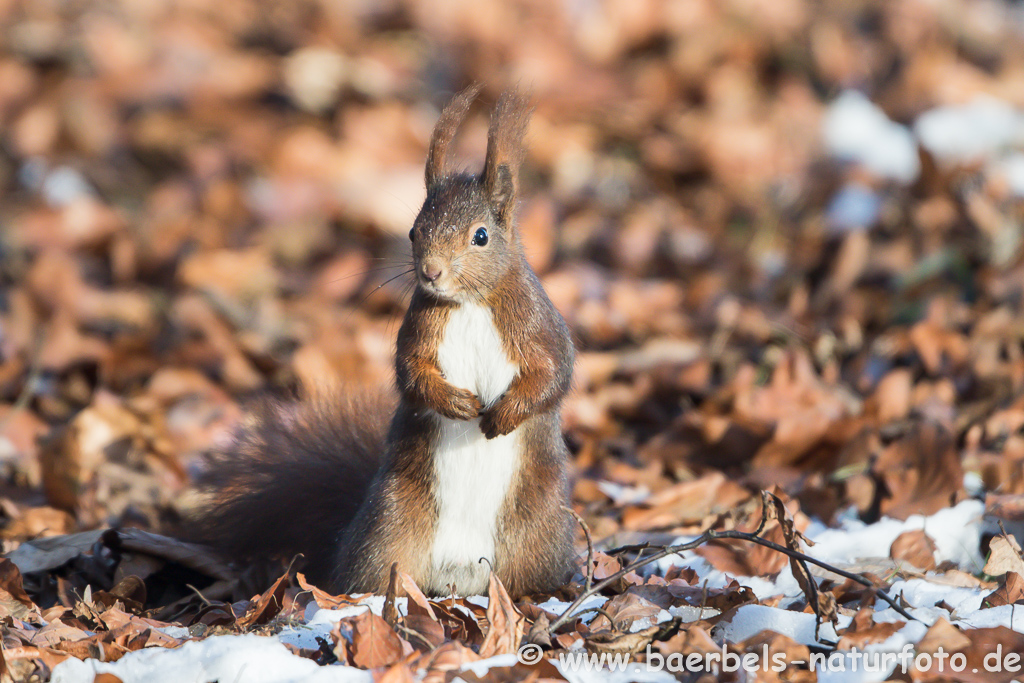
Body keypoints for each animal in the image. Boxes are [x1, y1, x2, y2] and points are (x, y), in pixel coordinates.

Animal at [185, 85, 581, 598]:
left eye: (481, 236)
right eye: (414, 230)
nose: (431, 271)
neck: (469, 302)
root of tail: (460, 580)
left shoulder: (537, 327)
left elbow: (552, 375)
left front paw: (503, 415)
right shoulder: (419, 333)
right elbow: (411, 374)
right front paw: (456, 404)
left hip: (536, 531)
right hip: (389, 527)